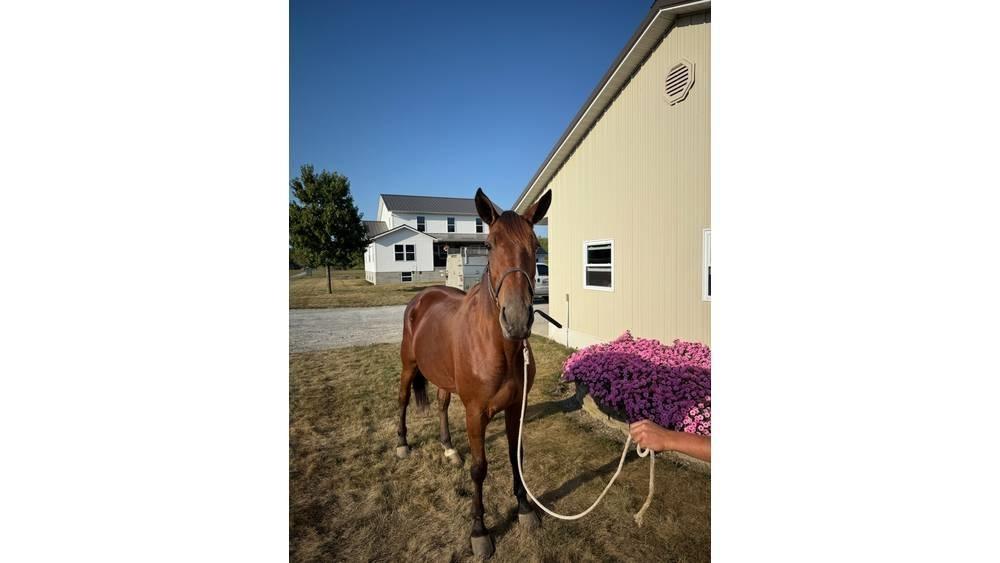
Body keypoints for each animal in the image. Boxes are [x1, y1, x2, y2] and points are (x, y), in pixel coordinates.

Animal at [396, 187, 551, 559]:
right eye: (490, 245)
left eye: (535, 245)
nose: (517, 319)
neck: (499, 348)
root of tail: (421, 298)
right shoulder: (475, 412)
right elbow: (479, 468)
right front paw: (479, 531)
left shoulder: (515, 408)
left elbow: (516, 456)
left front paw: (525, 510)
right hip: (409, 366)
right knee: (403, 398)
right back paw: (402, 444)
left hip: (442, 378)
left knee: (440, 404)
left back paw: (449, 449)